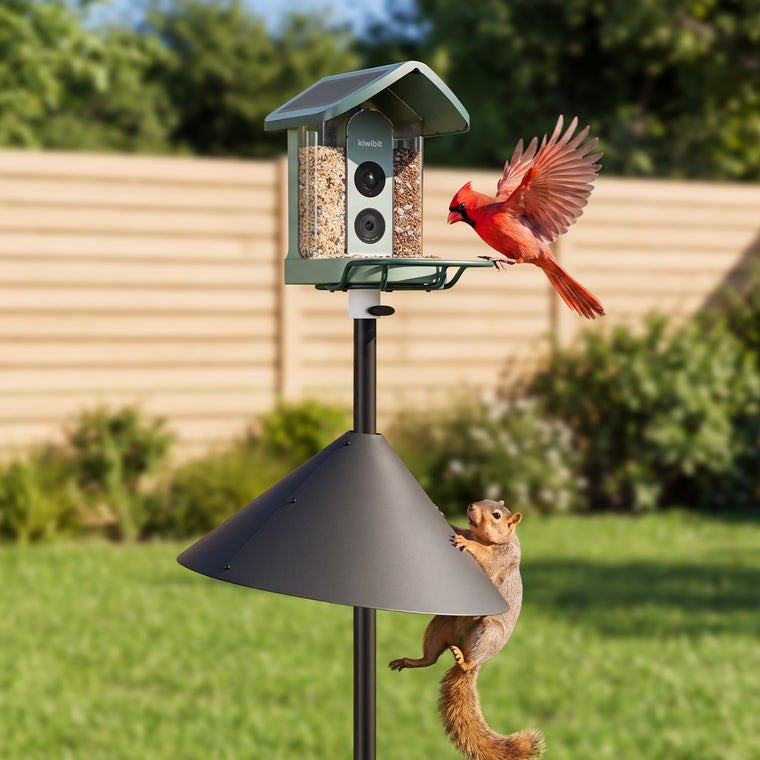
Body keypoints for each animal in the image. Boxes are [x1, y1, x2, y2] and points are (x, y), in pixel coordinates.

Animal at [388, 499, 545, 760]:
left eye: (497, 514)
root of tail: (468, 651)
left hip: (488, 633)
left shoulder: (502, 558)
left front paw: (468, 544)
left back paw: (463, 661)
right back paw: (411, 661)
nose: (471, 505)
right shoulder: (470, 530)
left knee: (464, 662)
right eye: (482, 500)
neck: (487, 538)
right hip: (440, 625)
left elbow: (486, 558)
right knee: (430, 659)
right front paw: (442, 514)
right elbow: (460, 529)